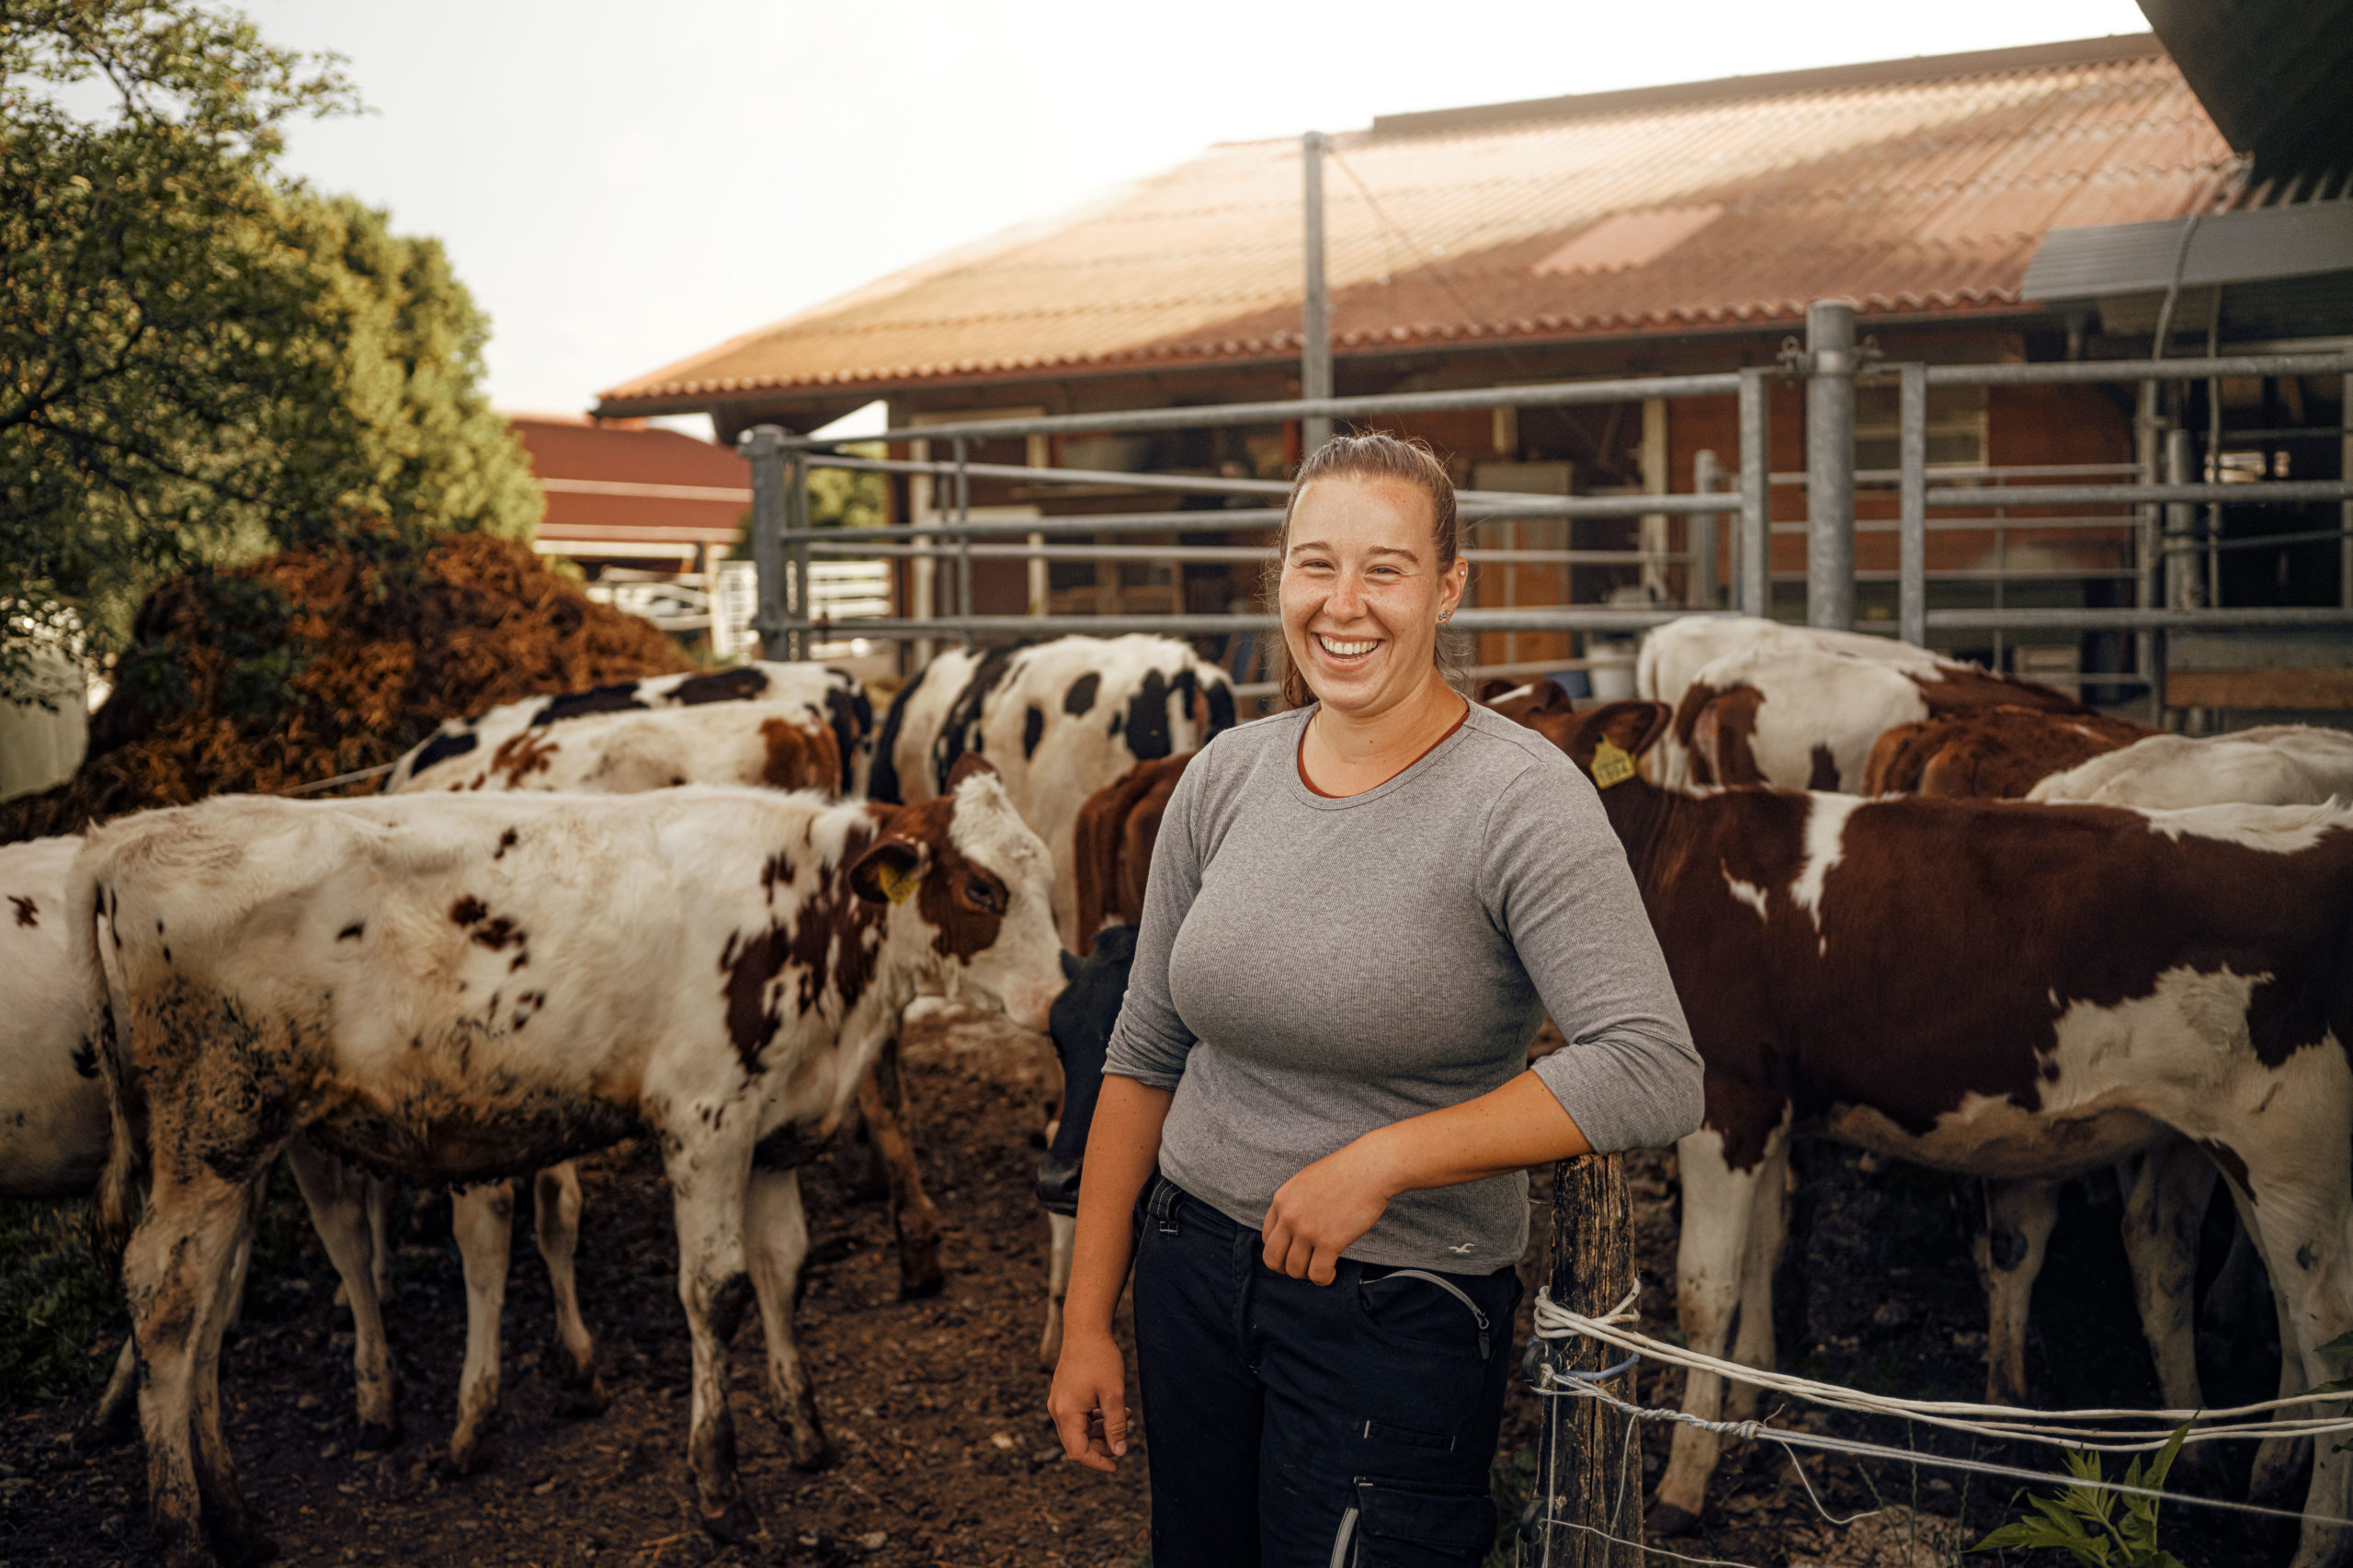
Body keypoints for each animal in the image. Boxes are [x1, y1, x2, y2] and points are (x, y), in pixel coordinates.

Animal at [1506, 687, 2353, 1562]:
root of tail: (2323, 831)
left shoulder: (1729, 1104)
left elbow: (1707, 1288)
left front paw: (1684, 1481)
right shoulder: (1773, 1110)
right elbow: (1763, 1250)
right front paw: (1749, 1398)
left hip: (2289, 1143)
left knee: (2326, 1321)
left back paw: (2315, 1533)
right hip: (2207, 1141)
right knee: (2189, 1268)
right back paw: (2221, 1461)